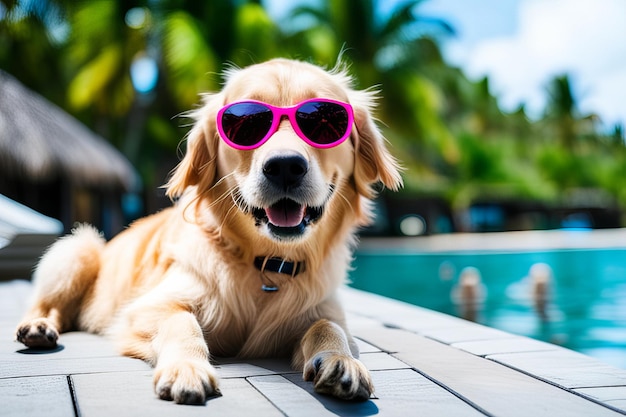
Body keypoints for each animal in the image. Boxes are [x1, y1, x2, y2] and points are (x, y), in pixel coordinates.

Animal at [18, 58, 404, 404]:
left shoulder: (323, 310)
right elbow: (182, 321)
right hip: (78, 247)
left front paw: (341, 360)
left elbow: (329, 327)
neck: (266, 265)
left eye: (326, 121)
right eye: (245, 125)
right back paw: (38, 327)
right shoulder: (147, 307)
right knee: (47, 303)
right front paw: (186, 368)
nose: (284, 167)